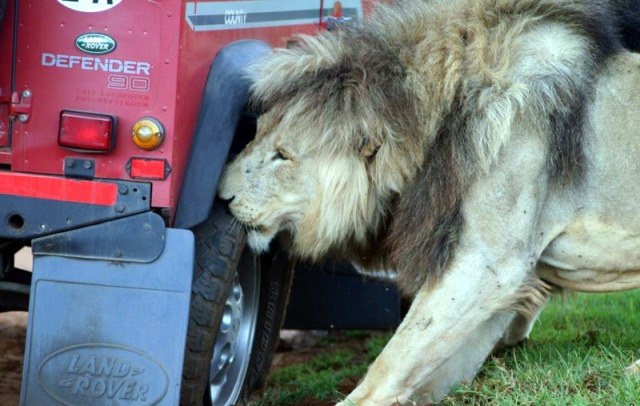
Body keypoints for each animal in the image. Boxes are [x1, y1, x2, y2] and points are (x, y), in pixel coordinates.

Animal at [219, 0, 640, 402]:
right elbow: (427, 370)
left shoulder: (490, 264)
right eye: (255, 133)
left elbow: (392, 359)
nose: (222, 194)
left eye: (283, 156)